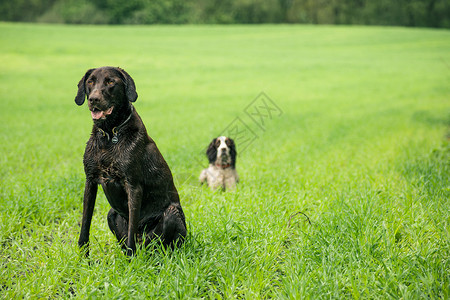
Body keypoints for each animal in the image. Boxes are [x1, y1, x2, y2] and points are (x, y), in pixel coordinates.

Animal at [74, 67, 185, 256]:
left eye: (111, 82)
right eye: (90, 82)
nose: (93, 99)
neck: (110, 135)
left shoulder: (133, 186)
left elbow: (132, 228)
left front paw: (132, 260)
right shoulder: (90, 181)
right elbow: (85, 225)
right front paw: (83, 259)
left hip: (171, 214)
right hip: (111, 213)